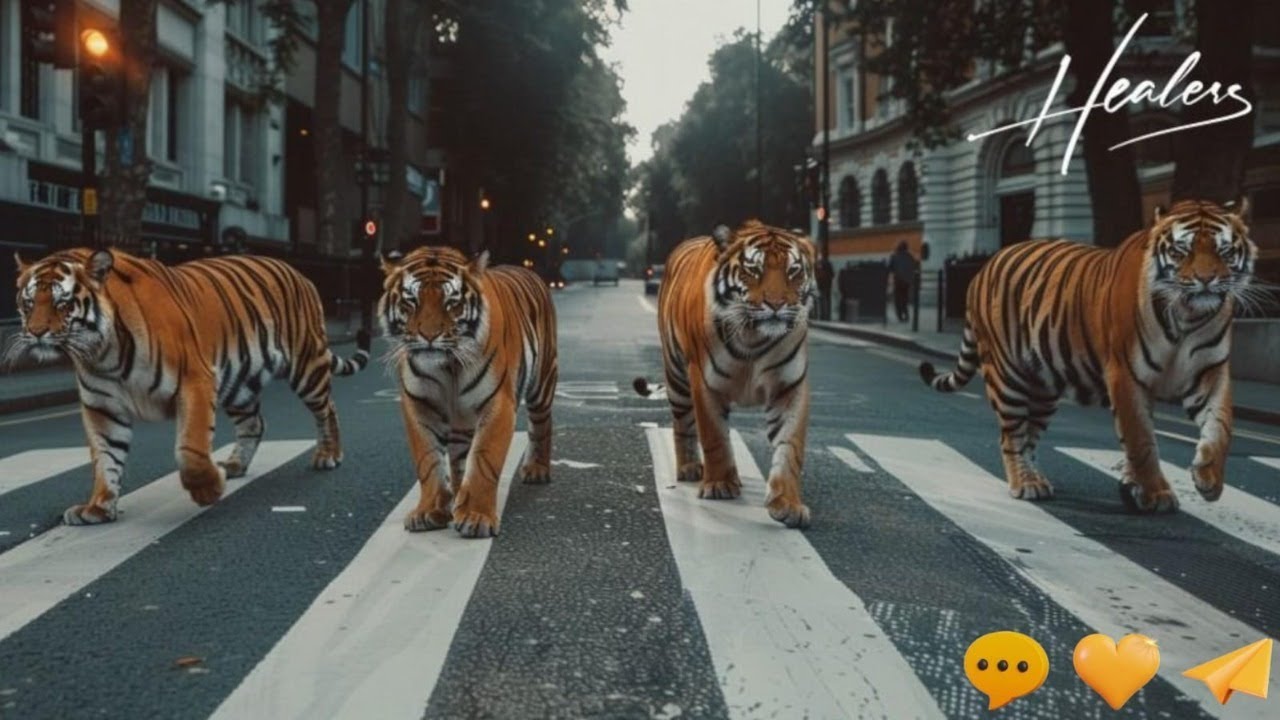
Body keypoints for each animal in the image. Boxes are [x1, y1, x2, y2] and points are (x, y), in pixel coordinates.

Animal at [7, 248, 371, 525]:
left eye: (63, 303)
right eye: (29, 303)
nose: (36, 333)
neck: (103, 353)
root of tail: (299, 273)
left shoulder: (195, 381)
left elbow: (190, 450)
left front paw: (208, 489)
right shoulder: (102, 406)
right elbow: (106, 456)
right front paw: (98, 506)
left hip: (306, 365)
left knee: (327, 410)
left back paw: (327, 455)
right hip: (240, 381)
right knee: (255, 422)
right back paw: (235, 465)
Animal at [378, 245, 557, 538]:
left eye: (452, 302)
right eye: (411, 301)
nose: (429, 336)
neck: (448, 367)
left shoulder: (498, 403)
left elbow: (484, 460)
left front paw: (476, 517)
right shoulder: (419, 405)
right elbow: (428, 461)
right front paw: (429, 511)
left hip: (542, 383)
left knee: (542, 424)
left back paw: (537, 470)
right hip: (461, 419)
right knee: (459, 455)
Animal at [634, 220, 816, 529]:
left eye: (793, 271)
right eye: (754, 269)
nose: (777, 304)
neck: (755, 338)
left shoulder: (790, 386)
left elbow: (790, 446)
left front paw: (788, 503)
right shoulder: (705, 381)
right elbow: (714, 436)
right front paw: (719, 484)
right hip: (677, 378)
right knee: (683, 425)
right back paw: (690, 468)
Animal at [920, 199, 1256, 512]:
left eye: (1224, 251)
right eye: (1180, 251)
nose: (1206, 280)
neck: (1187, 318)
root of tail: (985, 265)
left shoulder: (1210, 373)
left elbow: (1219, 428)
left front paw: (1208, 479)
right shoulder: (1125, 375)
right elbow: (1141, 440)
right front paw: (1155, 492)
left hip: (1043, 386)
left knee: (1029, 436)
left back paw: (1037, 479)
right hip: (1008, 377)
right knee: (1011, 436)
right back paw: (1025, 484)